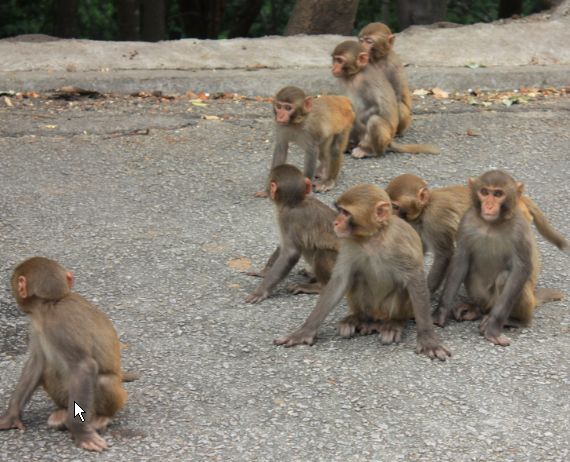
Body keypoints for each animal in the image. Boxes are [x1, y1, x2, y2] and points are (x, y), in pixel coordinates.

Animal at [0, 256, 130, 452]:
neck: (51, 303)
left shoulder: (58, 326)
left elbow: (84, 367)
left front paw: (83, 434)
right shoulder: (37, 327)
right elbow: (36, 363)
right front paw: (10, 416)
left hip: (114, 396)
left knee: (103, 381)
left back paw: (101, 417)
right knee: (49, 370)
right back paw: (61, 412)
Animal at [245, 165, 336, 304]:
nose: (267, 190)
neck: (295, 203)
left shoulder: (287, 218)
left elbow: (290, 253)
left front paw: (261, 291)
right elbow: (283, 246)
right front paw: (264, 272)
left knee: (323, 252)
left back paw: (320, 286)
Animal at [272, 182, 450, 360]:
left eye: (345, 213)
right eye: (340, 211)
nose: (335, 223)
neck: (374, 238)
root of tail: (378, 316)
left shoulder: (401, 243)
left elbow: (415, 280)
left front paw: (427, 338)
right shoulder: (349, 243)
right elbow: (340, 280)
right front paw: (305, 331)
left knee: (401, 288)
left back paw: (394, 323)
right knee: (357, 279)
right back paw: (358, 319)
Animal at [432, 171, 560, 344]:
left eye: (498, 194)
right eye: (485, 192)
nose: (489, 205)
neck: (490, 225)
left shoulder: (519, 228)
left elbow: (521, 269)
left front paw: (493, 327)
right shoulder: (466, 221)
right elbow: (461, 261)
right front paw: (440, 312)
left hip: (501, 303)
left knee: (505, 278)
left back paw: (515, 320)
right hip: (483, 298)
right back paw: (475, 309)